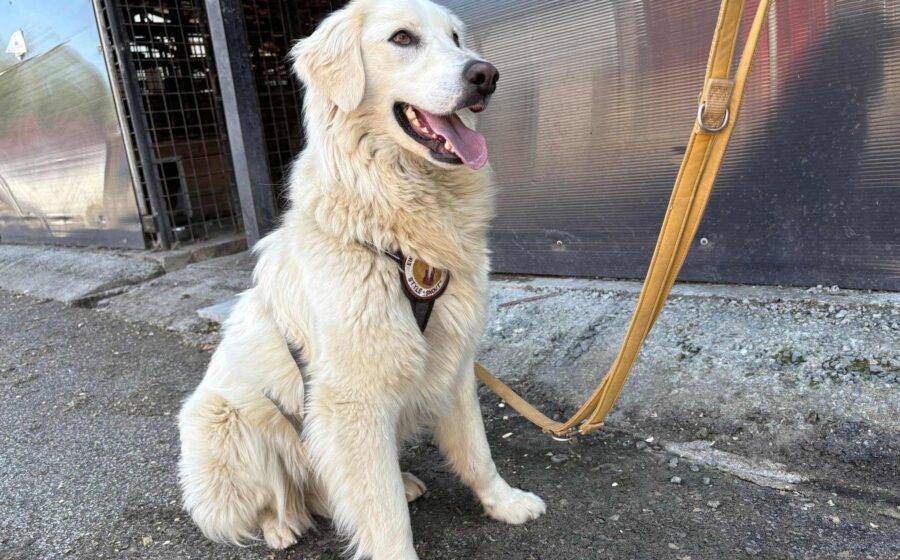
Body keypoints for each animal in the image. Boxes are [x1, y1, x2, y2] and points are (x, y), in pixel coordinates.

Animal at [177, 0, 545, 558]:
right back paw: (280, 527)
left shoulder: (454, 362)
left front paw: (504, 503)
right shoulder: (352, 400)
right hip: (223, 418)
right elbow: (383, 508)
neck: (400, 235)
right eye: (402, 38)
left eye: (456, 39)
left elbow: (478, 453)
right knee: (279, 496)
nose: (486, 75)